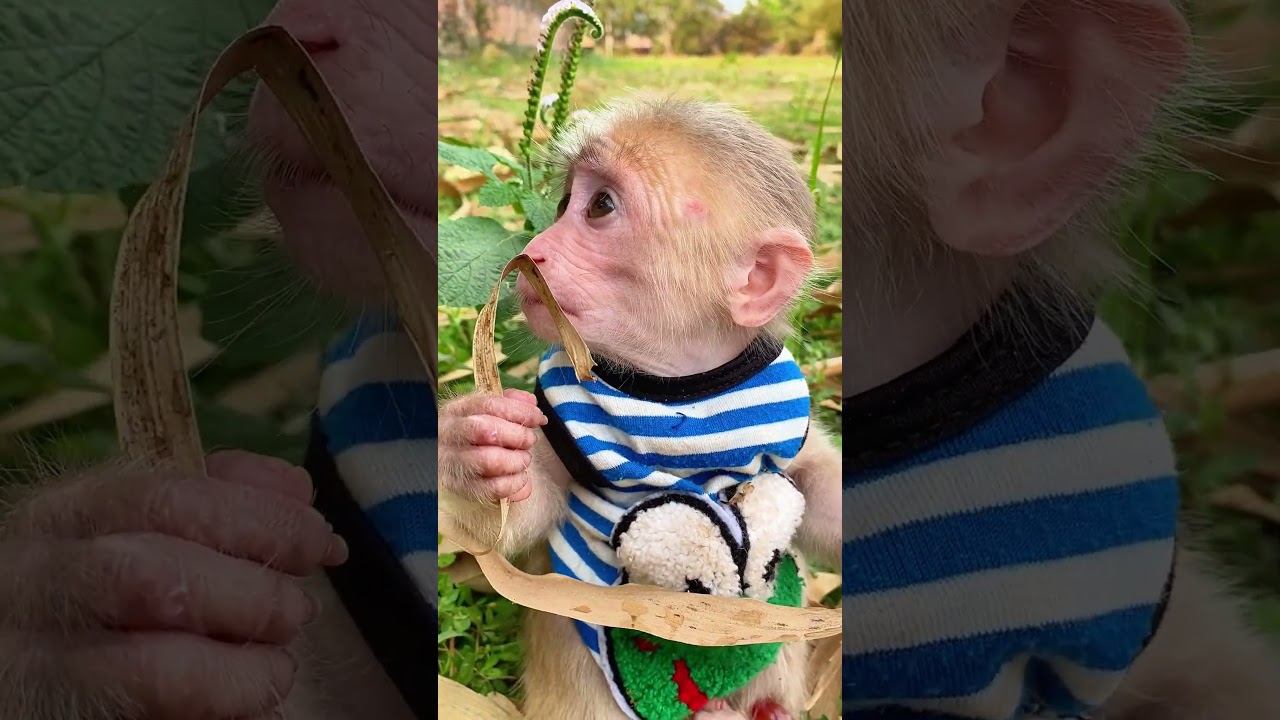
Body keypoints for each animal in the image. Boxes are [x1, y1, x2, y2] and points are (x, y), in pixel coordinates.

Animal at [436, 95, 844, 720]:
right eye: (564, 204)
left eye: (599, 207)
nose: (533, 252)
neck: (677, 384)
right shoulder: (559, 413)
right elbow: (526, 514)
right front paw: (474, 448)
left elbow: (816, 490)